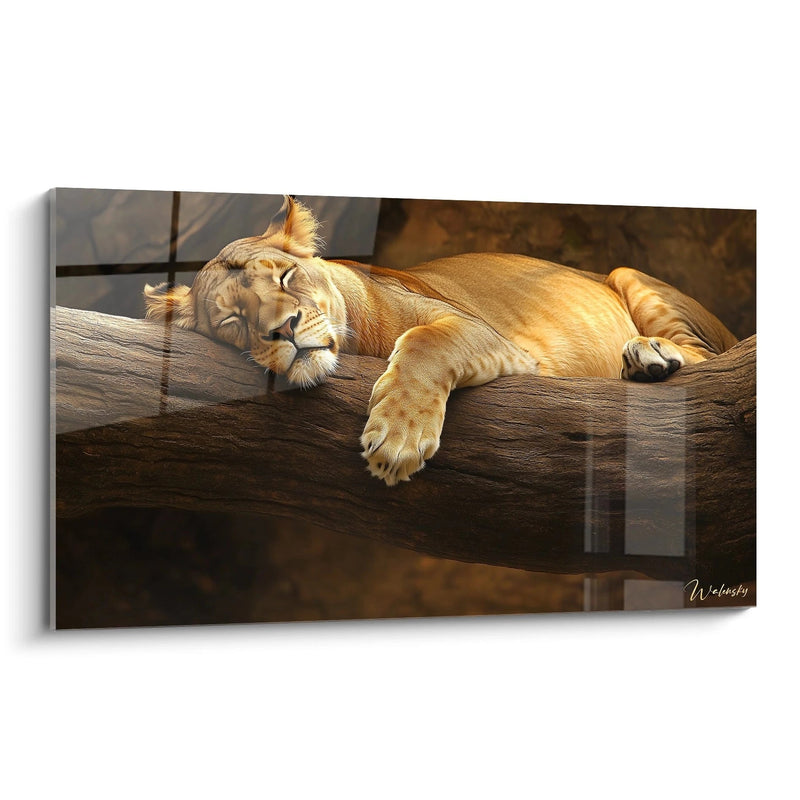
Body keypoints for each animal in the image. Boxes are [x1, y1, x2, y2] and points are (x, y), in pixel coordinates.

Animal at [144, 196, 738, 486]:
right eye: (233, 320)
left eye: (286, 278)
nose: (283, 329)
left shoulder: (481, 332)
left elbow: (425, 342)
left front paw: (396, 442)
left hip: (628, 274)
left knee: (709, 355)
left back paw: (647, 355)